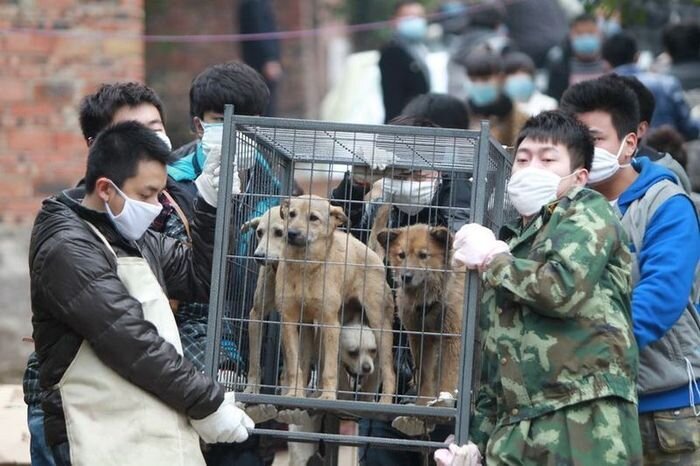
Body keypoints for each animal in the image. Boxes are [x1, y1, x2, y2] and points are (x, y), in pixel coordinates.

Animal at [274, 195, 396, 402]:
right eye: (291, 214)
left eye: (313, 218)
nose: (291, 233)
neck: (305, 267)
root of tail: (371, 252)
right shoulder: (289, 321)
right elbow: (295, 365)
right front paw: (295, 393)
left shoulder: (330, 324)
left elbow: (330, 368)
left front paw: (328, 396)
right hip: (312, 328)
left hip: (380, 327)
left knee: (388, 372)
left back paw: (385, 401)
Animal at [378, 225, 464, 404]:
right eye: (401, 255)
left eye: (423, 255)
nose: (406, 276)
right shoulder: (420, 338)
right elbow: (424, 375)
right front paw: (423, 401)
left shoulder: (452, 338)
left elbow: (448, 377)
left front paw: (444, 400)